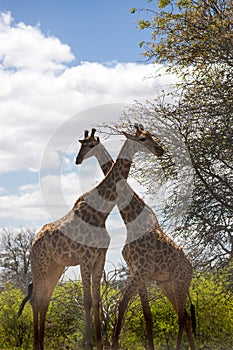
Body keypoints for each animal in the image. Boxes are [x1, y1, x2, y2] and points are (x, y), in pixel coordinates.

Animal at [18, 124, 164, 348]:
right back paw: (37, 344)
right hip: (39, 265)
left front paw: (99, 344)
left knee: (44, 299)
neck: (101, 213)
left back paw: (40, 343)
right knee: (36, 299)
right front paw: (88, 343)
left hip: (55, 267)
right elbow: (86, 301)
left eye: (150, 136)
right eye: (142, 139)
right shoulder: (85, 258)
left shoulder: (99, 258)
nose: (160, 150)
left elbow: (96, 300)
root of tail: (33, 242)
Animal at [75, 126, 196, 350]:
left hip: (180, 282)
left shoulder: (141, 271)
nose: (160, 149)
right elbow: (141, 312)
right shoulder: (136, 271)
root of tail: (191, 267)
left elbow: (129, 308)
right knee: (182, 315)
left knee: (182, 316)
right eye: (142, 138)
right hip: (166, 284)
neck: (130, 220)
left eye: (90, 145)